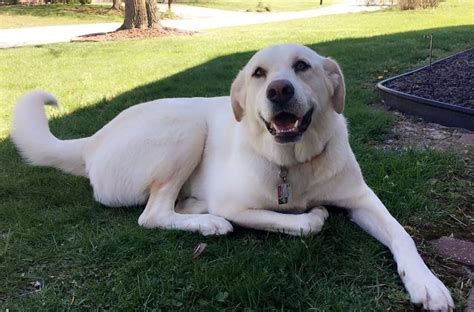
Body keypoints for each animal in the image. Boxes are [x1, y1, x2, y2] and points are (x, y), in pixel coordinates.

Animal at [11, 44, 454, 310]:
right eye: (259, 73)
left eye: (302, 66)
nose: (279, 90)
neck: (292, 162)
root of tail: (92, 141)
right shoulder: (238, 204)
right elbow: (298, 222)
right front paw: (311, 215)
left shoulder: (362, 198)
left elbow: (402, 234)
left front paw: (426, 283)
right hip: (187, 128)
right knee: (152, 214)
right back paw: (208, 222)